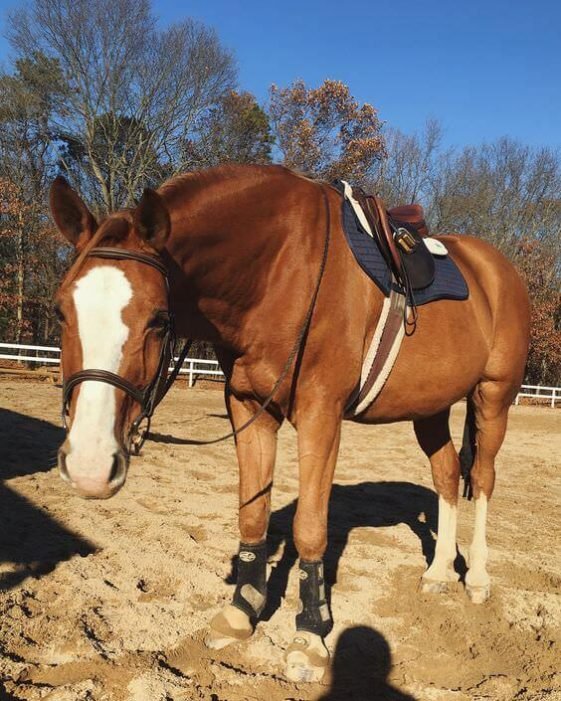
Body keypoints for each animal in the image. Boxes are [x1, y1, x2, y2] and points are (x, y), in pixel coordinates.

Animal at [50, 164, 530, 683]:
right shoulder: (247, 407)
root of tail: (497, 269)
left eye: (158, 319)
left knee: (482, 477)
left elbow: (309, 529)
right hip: (431, 408)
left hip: (494, 399)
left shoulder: (321, 415)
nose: (90, 467)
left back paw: (476, 578)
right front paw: (241, 612)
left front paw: (310, 635)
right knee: (446, 474)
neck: (277, 270)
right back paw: (439, 573)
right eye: (60, 310)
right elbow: (253, 514)